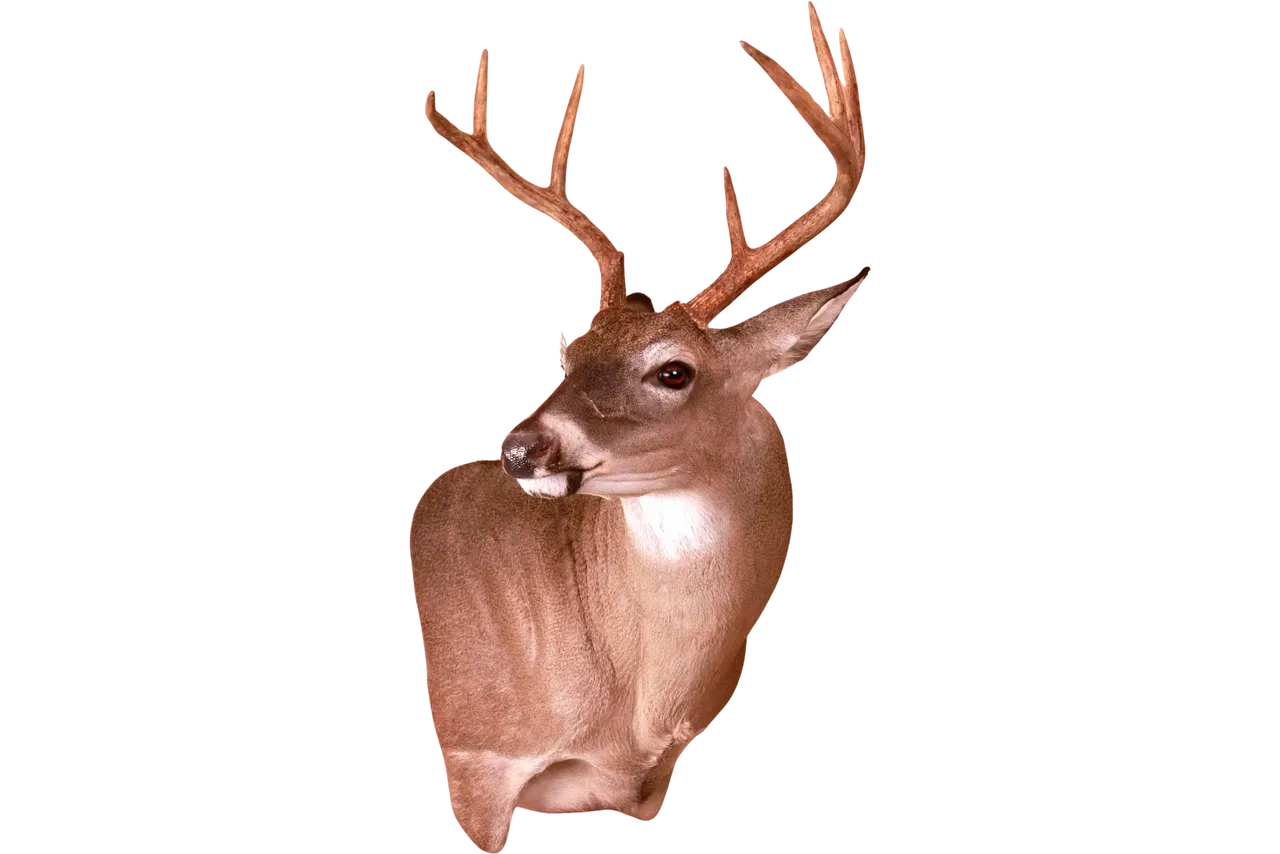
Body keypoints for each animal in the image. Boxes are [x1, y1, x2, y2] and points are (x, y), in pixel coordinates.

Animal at [411, 3, 869, 851]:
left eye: (673, 372)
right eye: (568, 353)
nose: (519, 447)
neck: (637, 707)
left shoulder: (655, 782)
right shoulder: (473, 752)